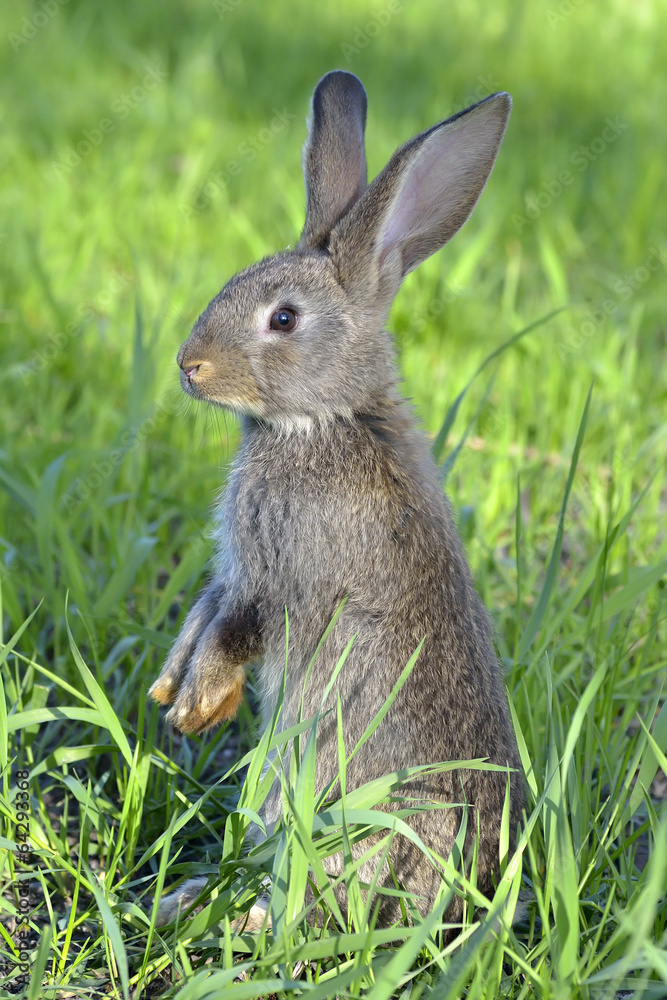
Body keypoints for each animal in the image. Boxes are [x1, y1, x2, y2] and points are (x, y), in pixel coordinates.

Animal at [150, 70, 523, 931]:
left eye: (283, 318)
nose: (188, 366)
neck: (327, 418)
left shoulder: (282, 578)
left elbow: (235, 630)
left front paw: (198, 706)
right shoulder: (234, 570)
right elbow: (202, 615)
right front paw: (170, 690)